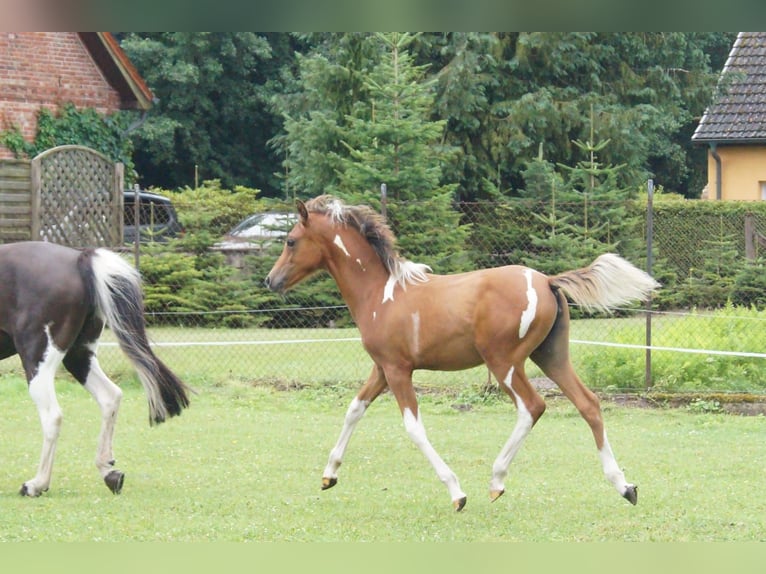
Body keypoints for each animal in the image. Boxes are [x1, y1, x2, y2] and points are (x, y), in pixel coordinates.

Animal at [0, 241, 190, 498]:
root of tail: (79, 259)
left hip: (38, 358)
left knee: (52, 416)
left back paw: (36, 484)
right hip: (79, 355)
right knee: (110, 396)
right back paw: (109, 472)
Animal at [268, 198, 664, 512]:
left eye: (290, 241)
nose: (271, 281)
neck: (380, 293)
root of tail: (547, 280)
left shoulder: (398, 370)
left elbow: (413, 427)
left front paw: (456, 493)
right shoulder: (381, 368)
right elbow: (354, 409)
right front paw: (328, 475)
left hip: (504, 362)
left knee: (532, 407)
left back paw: (497, 481)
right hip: (550, 357)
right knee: (589, 404)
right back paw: (625, 486)